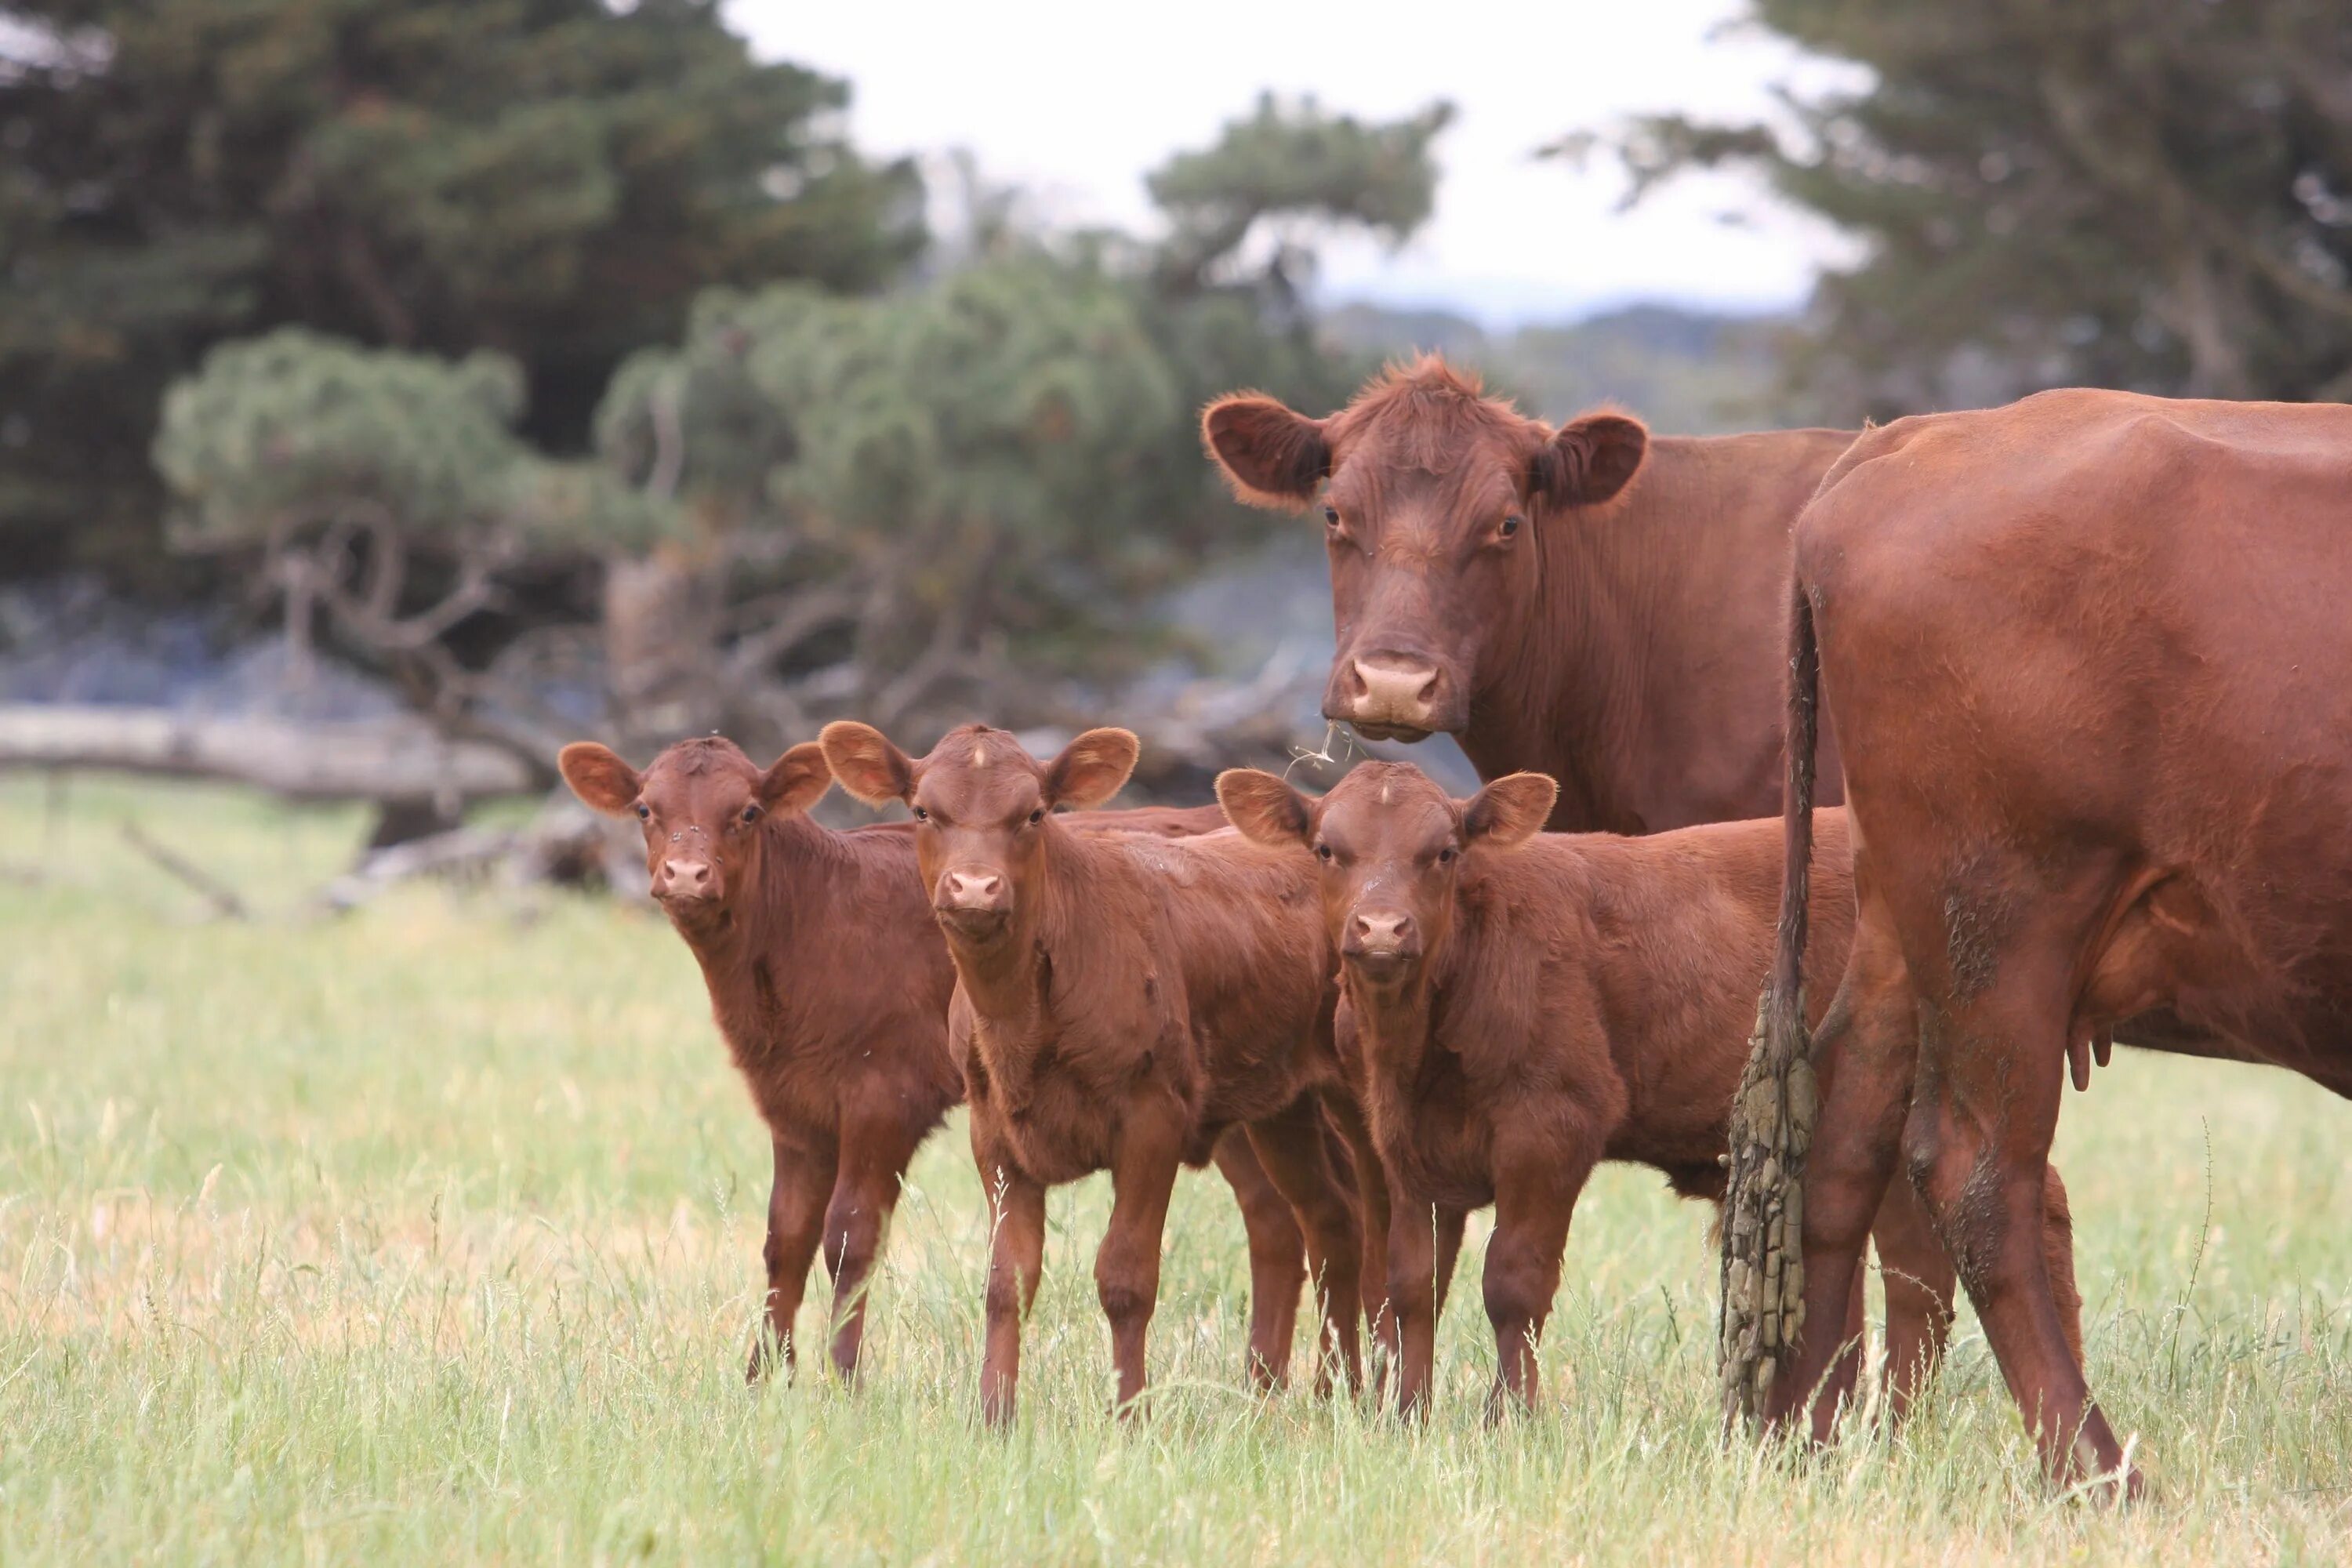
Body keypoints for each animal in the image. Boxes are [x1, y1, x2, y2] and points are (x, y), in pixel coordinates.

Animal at [560, 738, 1317, 1382]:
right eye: (646, 809)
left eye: (746, 812)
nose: (687, 875)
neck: (809, 923)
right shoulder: (795, 1107)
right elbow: (786, 1239)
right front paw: (762, 1380)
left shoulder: (885, 1095)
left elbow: (850, 1235)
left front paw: (842, 1382)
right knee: (1276, 1221)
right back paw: (1263, 1388)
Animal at [818, 719, 1383, 1420]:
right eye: (923, 811)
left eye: (1034, 813)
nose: (974, 887)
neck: (1024, 1023)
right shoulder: (994, 1133)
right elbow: (1007, 1280)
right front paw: (994, 1416)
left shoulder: (1152, 1120)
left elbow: (1126, 1276)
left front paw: (1129, 1414)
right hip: (1280, 1107)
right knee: (1329, 1220)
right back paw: (1324, 1394)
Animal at [1223, 761, 2089, 1420]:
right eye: (1326, 849)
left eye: (1443, 852)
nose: (1381, 929)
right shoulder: (1406, 1149)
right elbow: (1409, 1288)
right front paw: (1407, 1418)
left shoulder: (1553, 1125)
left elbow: (1513, 1283)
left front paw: (1510, 1420)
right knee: (1920, 1264)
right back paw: (1899, 1424)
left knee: (2015, 1212)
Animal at [1750, 385, 2352, 1495]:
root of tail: (1912, 439)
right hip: (2005, 933)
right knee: (1976, 1178)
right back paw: (2101, 1473)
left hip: (1904, 927)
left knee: (1845, 1142)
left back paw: (1792, 1438)